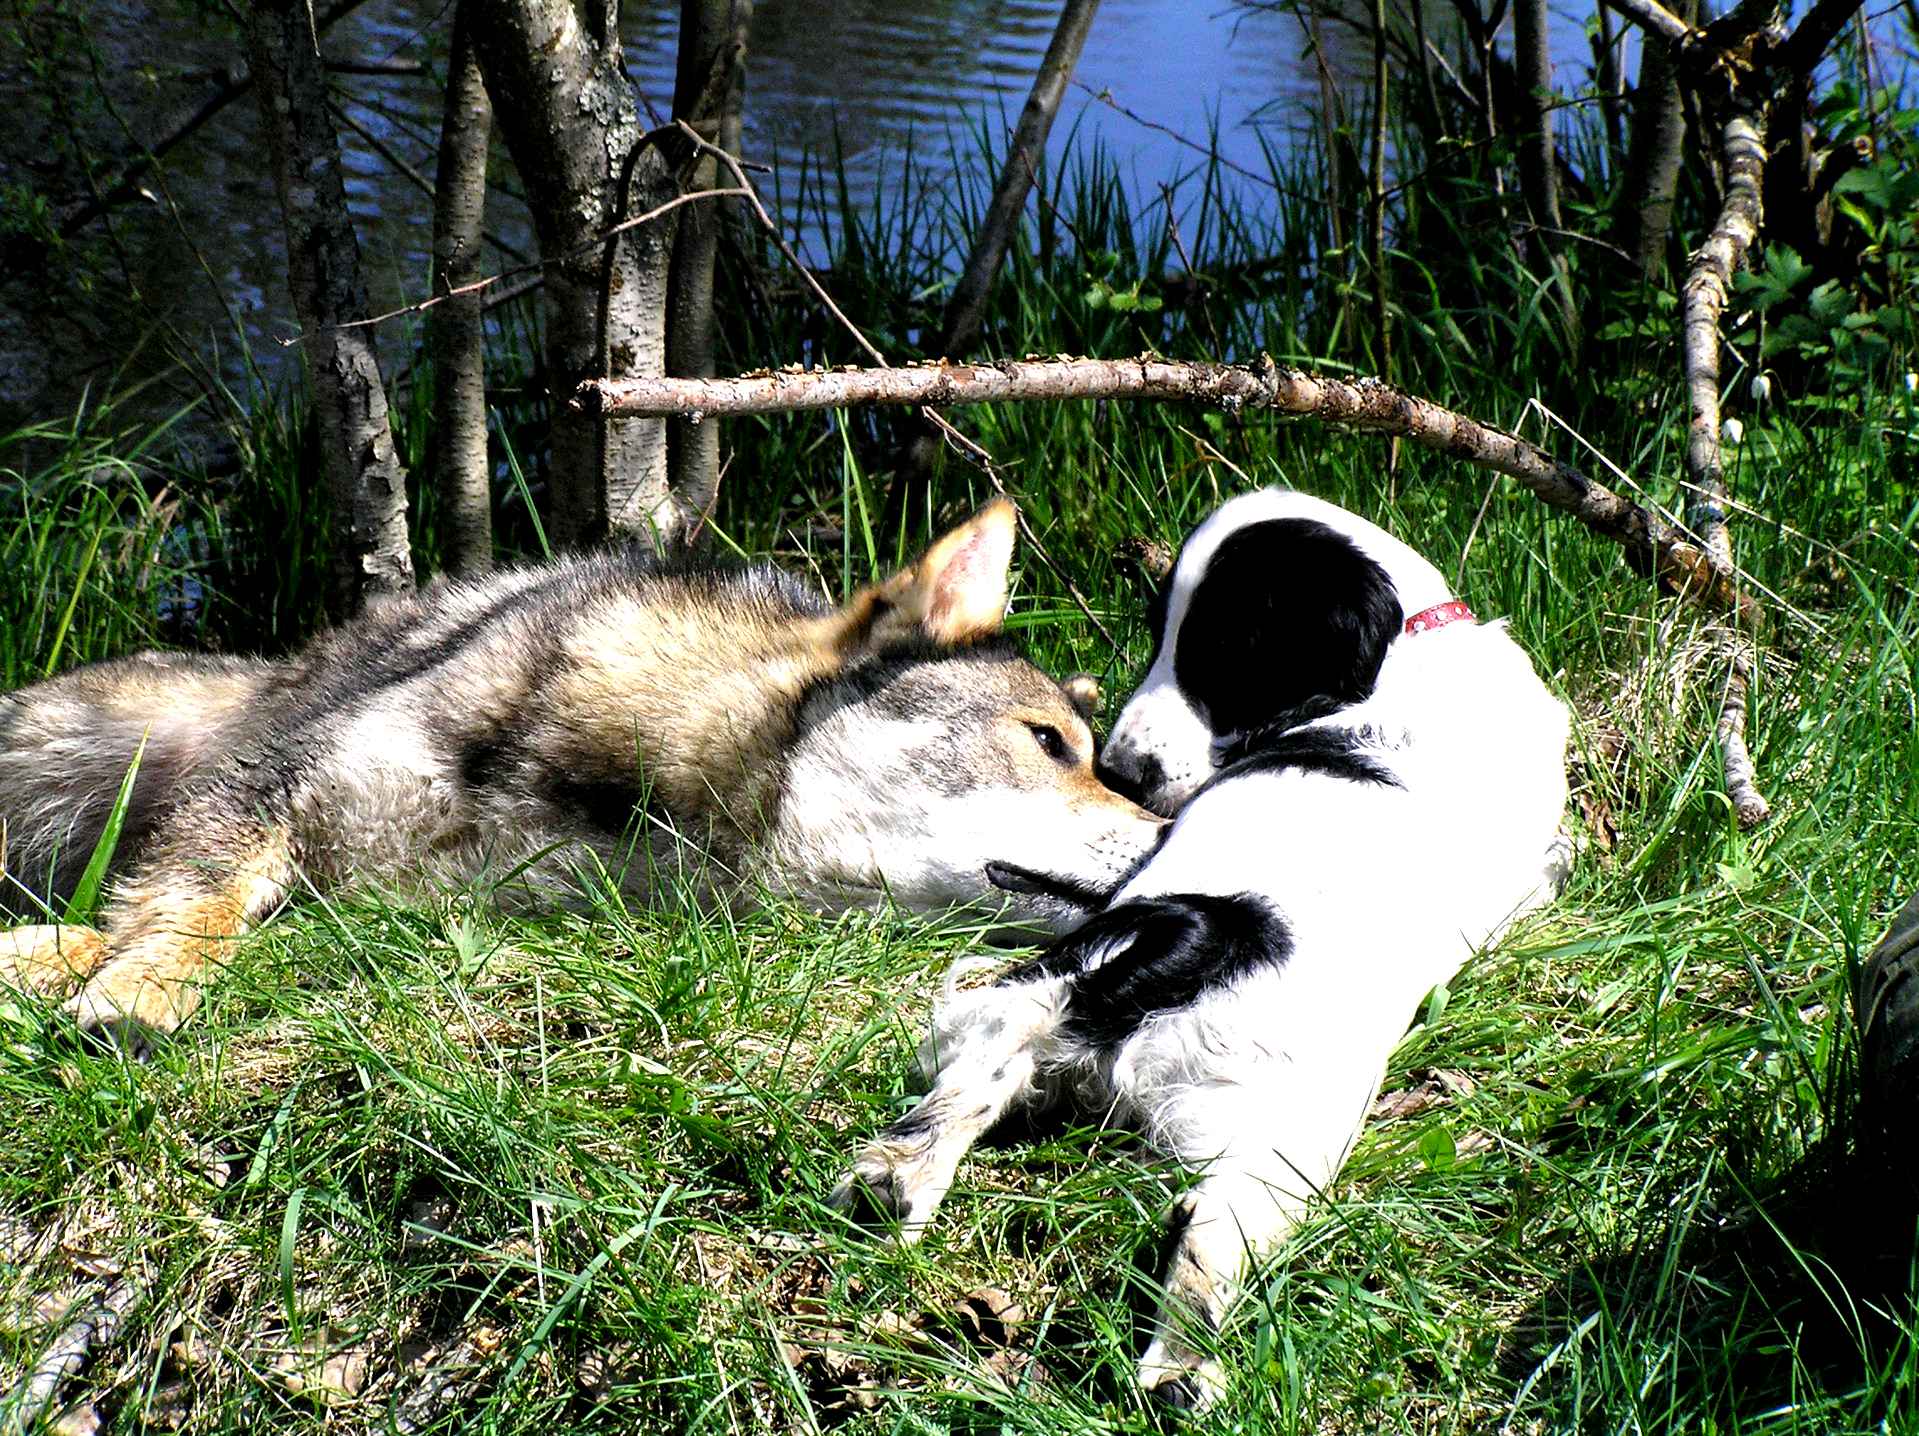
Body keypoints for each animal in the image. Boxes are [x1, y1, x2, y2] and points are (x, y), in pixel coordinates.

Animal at [832, 487, 1565, 1405]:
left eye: (1220, 649)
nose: (1119, 771)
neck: (1418, 643)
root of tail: (1215, 946)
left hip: (1216, 1075)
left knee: (1011, 1037)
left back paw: (907, 1176)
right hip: (1280, 1126)